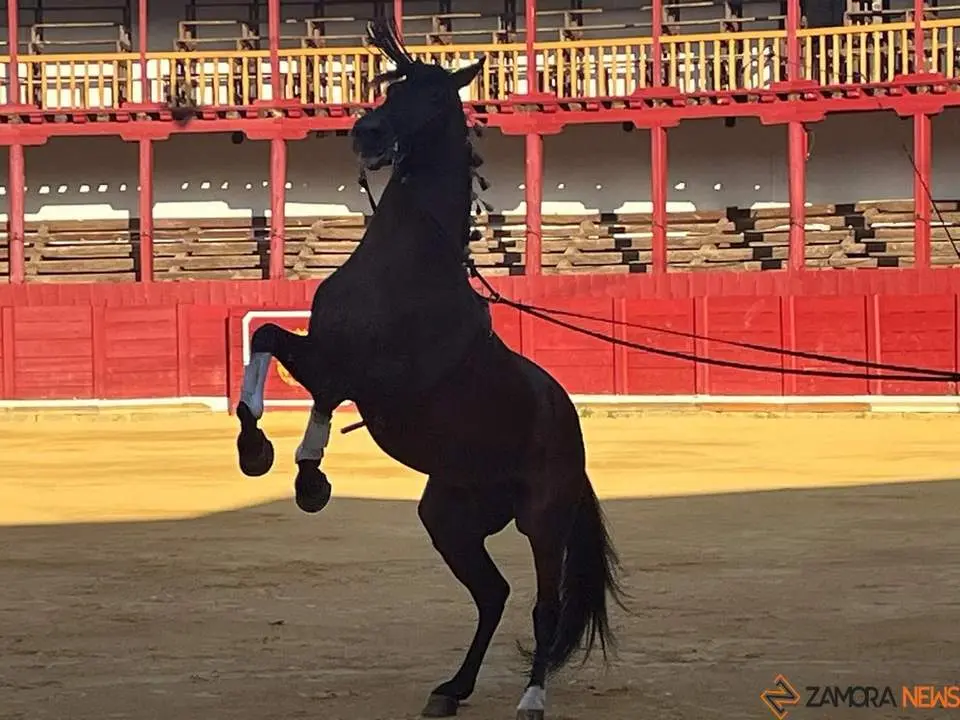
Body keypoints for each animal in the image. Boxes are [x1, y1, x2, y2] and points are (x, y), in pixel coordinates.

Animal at [234, 19, 626, 720]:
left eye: (438, 95)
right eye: (391, 88)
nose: (367, 134)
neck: (407, 263)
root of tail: (571, 436)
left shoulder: (371, 377)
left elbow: (315, 387)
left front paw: (305, 473)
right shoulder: (327, 351)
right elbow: (266, 340)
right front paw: (264, 455)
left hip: (544, 517)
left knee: (544, 607)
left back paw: (531, 699)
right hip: (449, 518)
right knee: (493, 594)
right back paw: (453, 688)